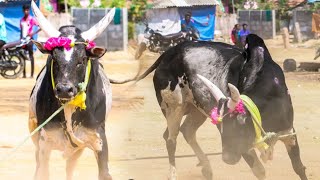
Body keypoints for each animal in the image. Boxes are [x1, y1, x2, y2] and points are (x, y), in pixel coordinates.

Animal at [28, 1, 122, 180]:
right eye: (53, 58)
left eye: (82, 59)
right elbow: (42, 172)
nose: (64, 90)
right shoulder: (44, 144)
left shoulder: (99, 141)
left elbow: (104, 172)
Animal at [135, 34, 308, 180]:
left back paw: (206, 169)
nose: (227, 158)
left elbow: (299, 168)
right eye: (222, 128)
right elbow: (260, 171)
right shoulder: (245, 148)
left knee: (187, 131)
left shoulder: (288, 132)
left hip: (198, 109)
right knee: (171, 140)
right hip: (174, 107)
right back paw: (173, 174)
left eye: (240, 126)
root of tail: (168, 54)